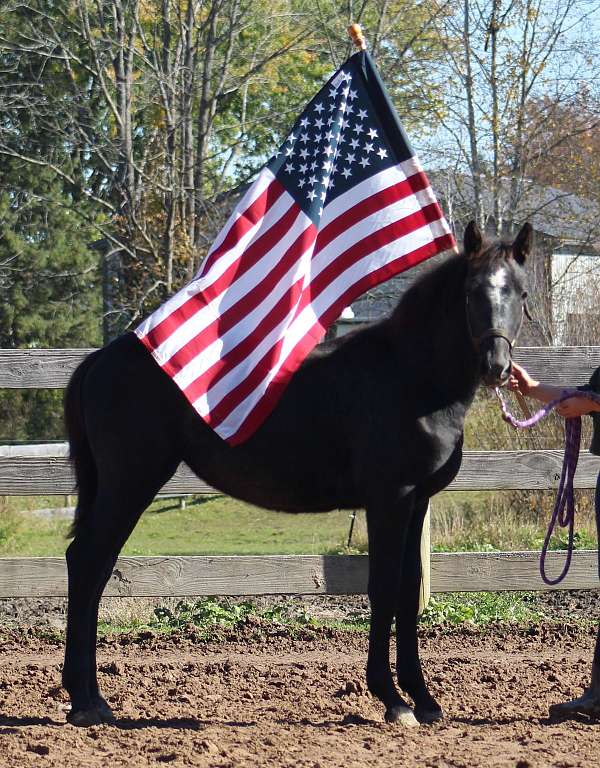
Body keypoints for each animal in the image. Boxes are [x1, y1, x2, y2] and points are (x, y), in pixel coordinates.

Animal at [59, 220, 528, 728]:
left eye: (521, 292)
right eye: (472, 291)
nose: (497, 367)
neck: (410, 377)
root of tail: (101, 359)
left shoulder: (417, 500)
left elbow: (408, 592)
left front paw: (423, 700)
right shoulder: (390, 500)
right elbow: (383, 587)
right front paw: (392, 699)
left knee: (94, 568)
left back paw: (89, 696)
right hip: (130, 483)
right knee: (89, 563)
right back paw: (86, 700)